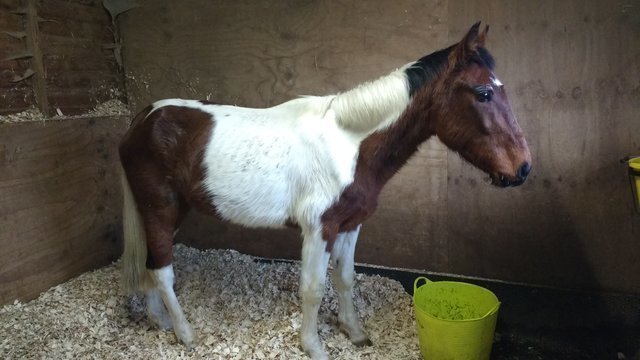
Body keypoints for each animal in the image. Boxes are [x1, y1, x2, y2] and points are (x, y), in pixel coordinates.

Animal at [119, 23, 528, 358]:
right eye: (483, 93)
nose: (523, 168)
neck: (349, 142)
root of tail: (143, 118)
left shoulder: (350, 225)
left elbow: (344, 279)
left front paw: (354, 332)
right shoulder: (319, 229)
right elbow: (313, 288)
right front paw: (313, 346)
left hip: (166, 212)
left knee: (152, 263)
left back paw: (158, 320)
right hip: (159, 208)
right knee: (163, 271)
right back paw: (185, 333)